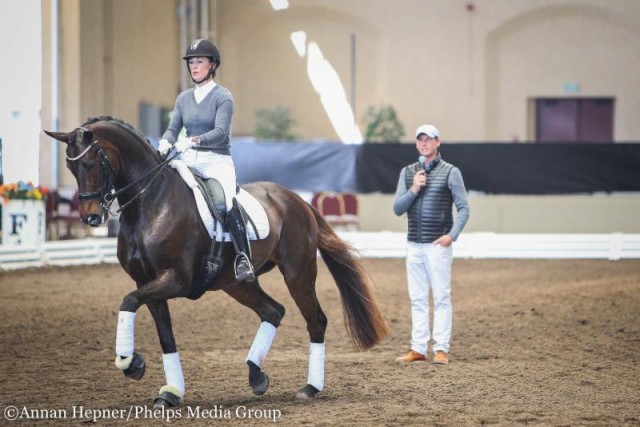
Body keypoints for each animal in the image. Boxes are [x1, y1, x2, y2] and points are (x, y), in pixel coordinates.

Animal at [45, 117, 388, 408]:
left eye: (90, 163)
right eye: (70, 167)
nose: (91, 217)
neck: (149, 205)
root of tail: (297, 199)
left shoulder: (175, 280)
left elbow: (127, 302)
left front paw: (131, 364)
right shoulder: (148, 284)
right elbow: (164, 336)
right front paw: (170, 391)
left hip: (298, 274)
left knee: (315, 320)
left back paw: (310, 387)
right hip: (235, 283)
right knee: (273, 311)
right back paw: (256, 375)